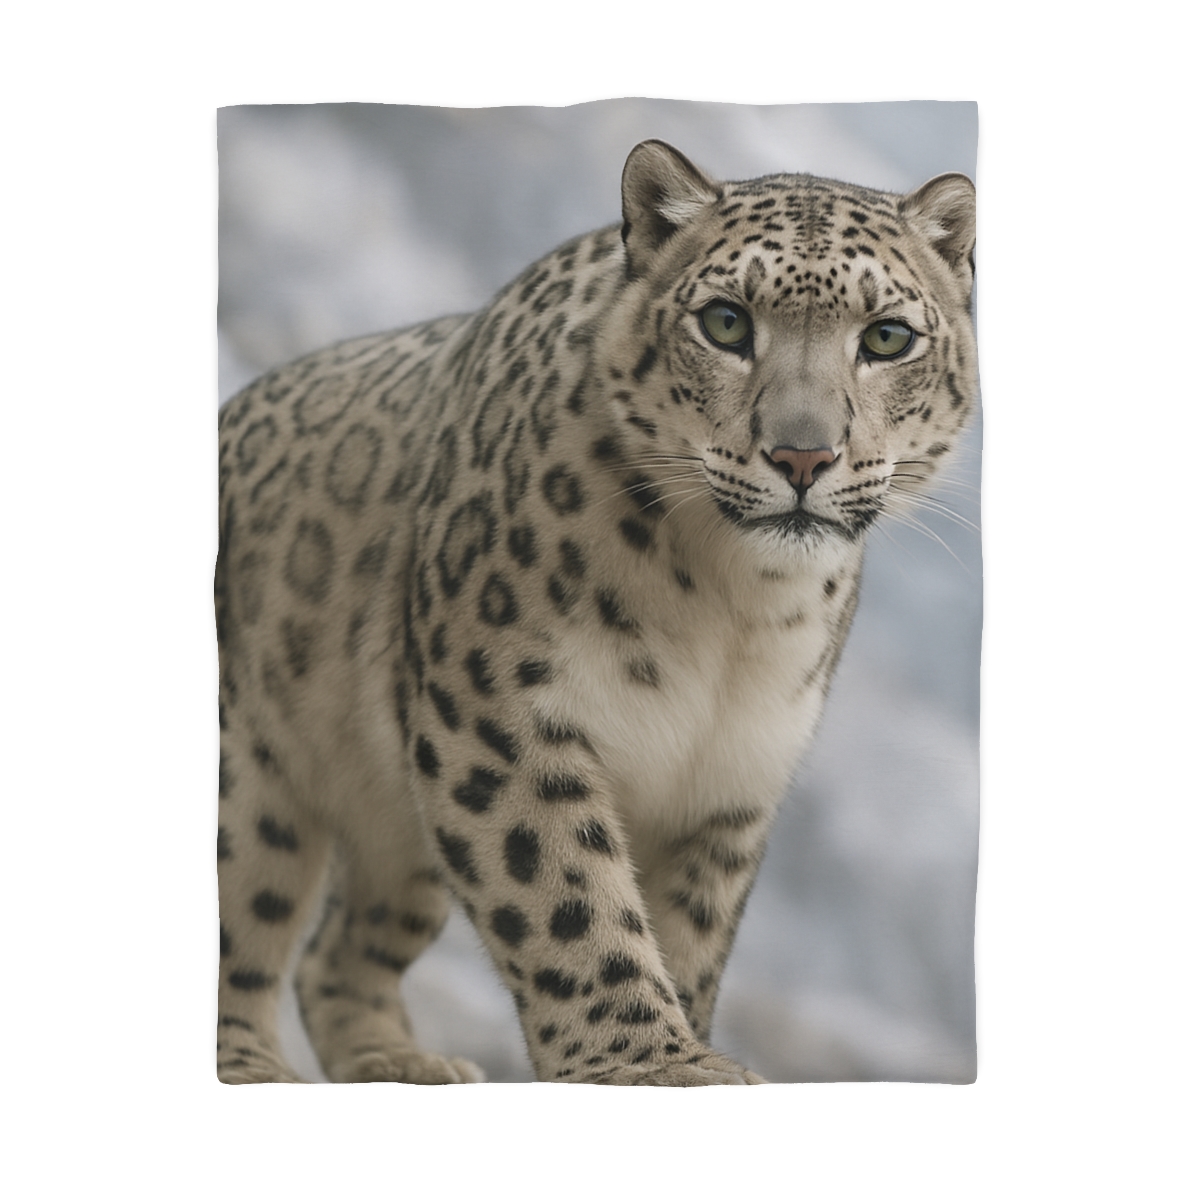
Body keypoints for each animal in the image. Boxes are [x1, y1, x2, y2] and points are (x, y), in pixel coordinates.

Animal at [215, 139, 978, 1085]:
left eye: (886, 337)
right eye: (726, 323)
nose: (803, 456)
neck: (734, 608)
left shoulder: (729, 783)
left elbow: (685, 935)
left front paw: (677, 1042)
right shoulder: (499, 716)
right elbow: (569, 898)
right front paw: (655, 1064)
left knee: (337, 950)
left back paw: (405, 1063)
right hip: (246, 788)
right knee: (241, 924)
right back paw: (254, 1069)